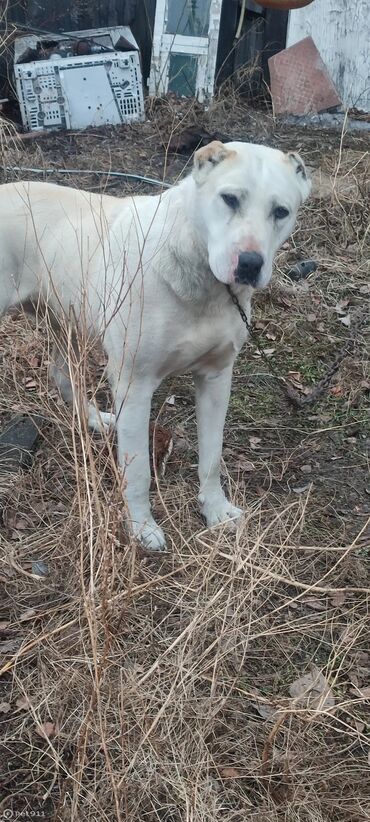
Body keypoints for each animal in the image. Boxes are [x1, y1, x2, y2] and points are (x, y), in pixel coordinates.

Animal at [0, 142, 310, 552]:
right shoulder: (135, 386)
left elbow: (212, 456)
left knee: (61, 373)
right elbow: (138, 472)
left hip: (67, 317)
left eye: (281, 212)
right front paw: (140, 526)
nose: (249, 263)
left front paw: (215, 510)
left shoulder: (216, 380)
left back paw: (93, 419)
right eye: (229, 199)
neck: (200, 273)